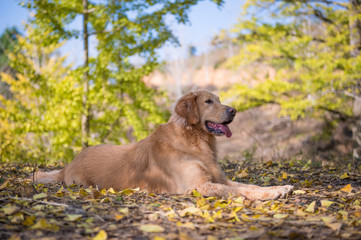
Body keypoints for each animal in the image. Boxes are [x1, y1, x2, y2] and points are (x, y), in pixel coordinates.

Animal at [33, 91, 292, 200]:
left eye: (219, 100)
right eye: (209, 101)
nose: (234, 111)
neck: (193, 141)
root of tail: (69, 163)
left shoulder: (218, 179)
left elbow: (247, 185)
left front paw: (277, 188)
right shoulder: (197, 185)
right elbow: (238, 191)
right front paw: (272, 194)